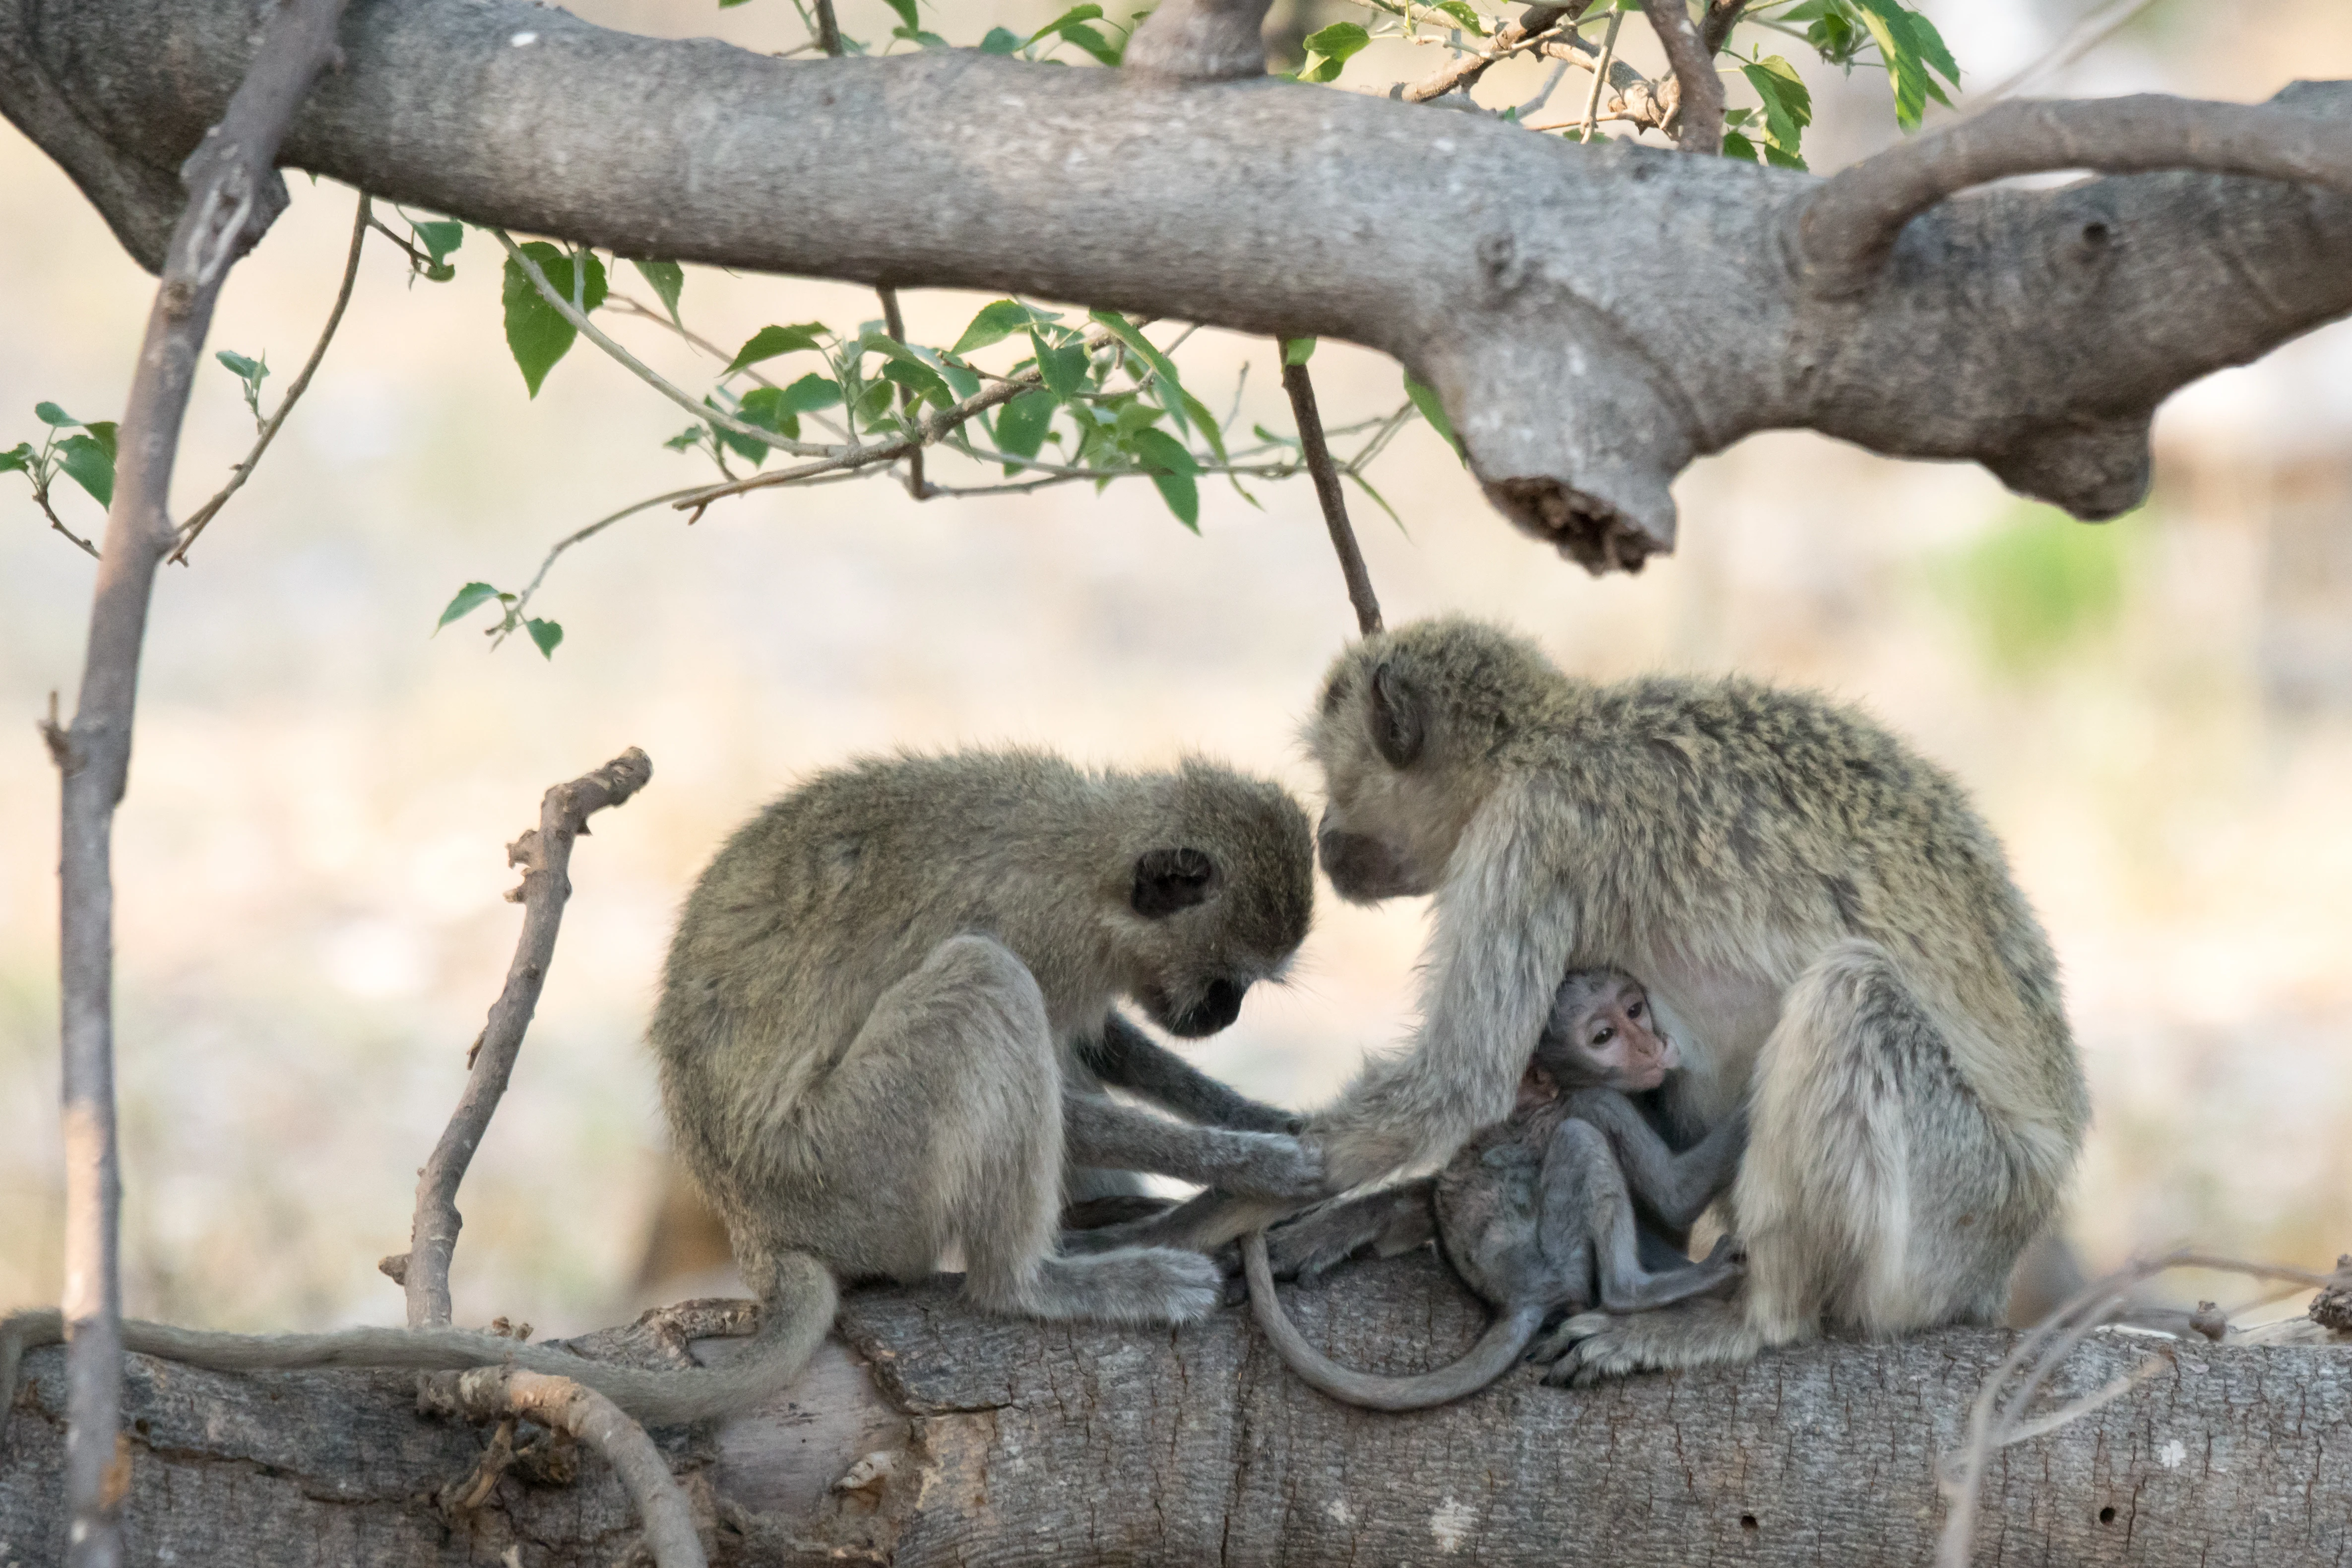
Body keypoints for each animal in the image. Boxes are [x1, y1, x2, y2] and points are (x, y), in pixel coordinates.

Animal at [2, 750, 1322, 1430]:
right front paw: (1272, 1161)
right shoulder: (1035, 929)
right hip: (855, 1170)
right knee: (978, 998)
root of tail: (759, 1229)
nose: (1224, 1015)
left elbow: (1109, 1052)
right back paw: (1042, 1279)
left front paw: (1265, 1117)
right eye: (1227, 978)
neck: (1087, 851)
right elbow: (1068, 1070)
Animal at [1243, 967, 1746, 1409]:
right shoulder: (1602, 1100)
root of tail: (1516, 1299)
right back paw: (1634, 1290)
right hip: (1555, 1259)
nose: (1648, 1045)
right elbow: (1675, 1196)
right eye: (1604, 1036)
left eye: (1635, 1009)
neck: (1559, 1087)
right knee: (1580, 1141)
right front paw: (1751, 1097)